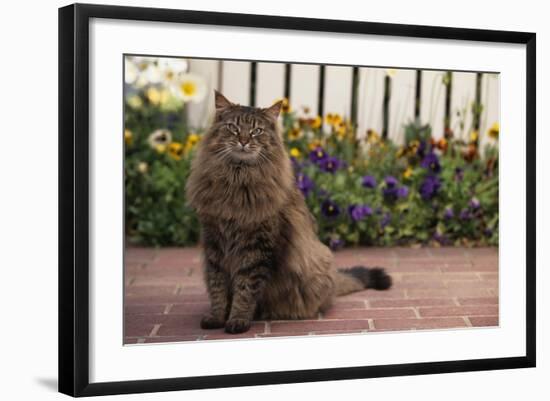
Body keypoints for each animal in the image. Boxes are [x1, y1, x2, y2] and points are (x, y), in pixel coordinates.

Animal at [188, 92, 394, 332]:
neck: (237, 179)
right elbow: (218, 289)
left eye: (257, 131)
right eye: (233, 127)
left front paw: (238, 320)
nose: (244, 141)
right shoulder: (214, 244)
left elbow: (245, 289)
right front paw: (217, 317)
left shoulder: (257, 248)